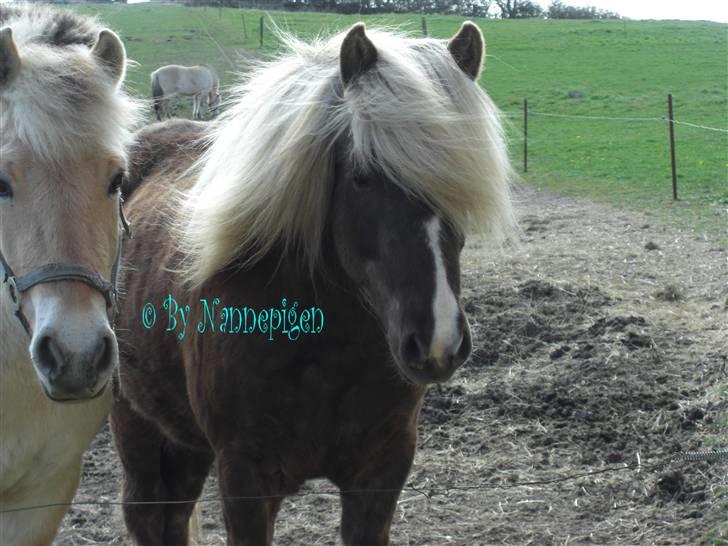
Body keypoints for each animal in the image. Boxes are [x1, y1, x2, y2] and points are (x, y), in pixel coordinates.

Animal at [114, 22, 512, 544]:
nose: (438, 342)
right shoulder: (244, 476)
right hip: (134, 420)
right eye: (362, 177)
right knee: (144, 511)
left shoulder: (381, 473)